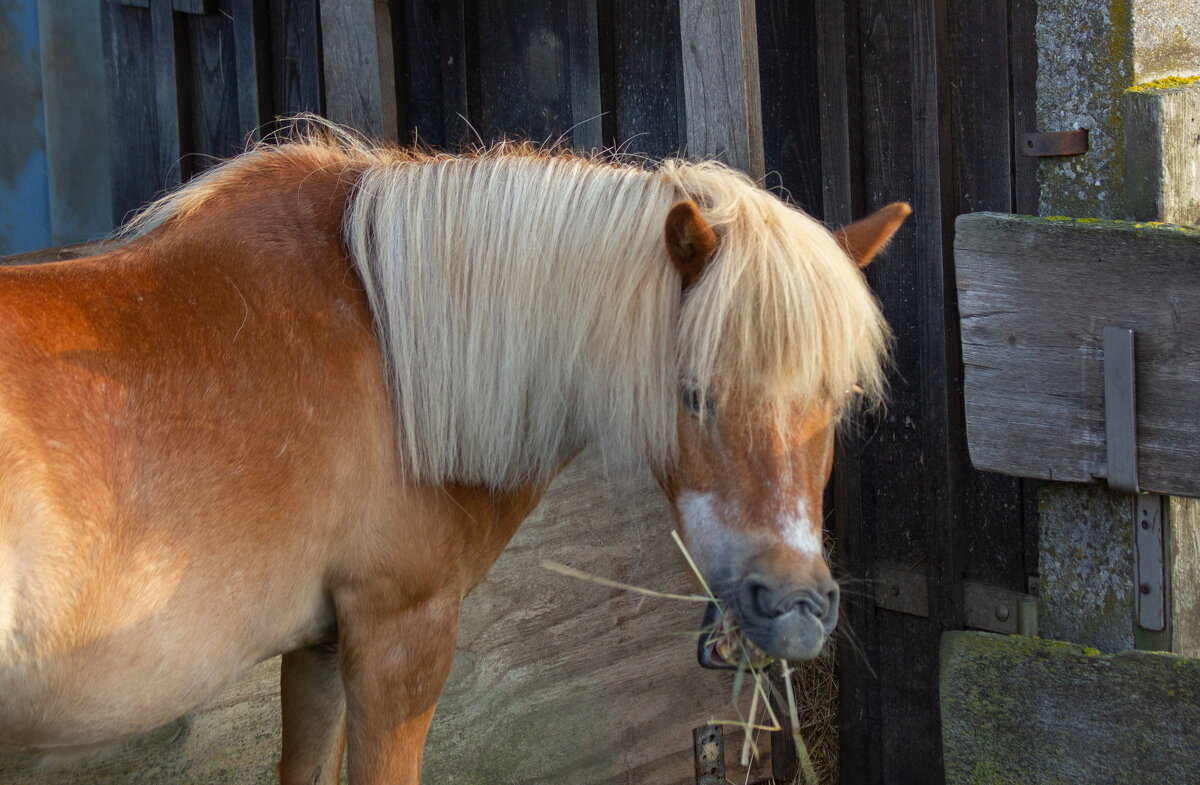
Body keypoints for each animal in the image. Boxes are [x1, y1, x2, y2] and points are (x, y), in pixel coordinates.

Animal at [0, 120, 902, 782]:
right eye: (692, 392)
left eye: (837, 397)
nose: (795, 605)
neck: (390, 351)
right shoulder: (403, 638)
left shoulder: (321, 647)